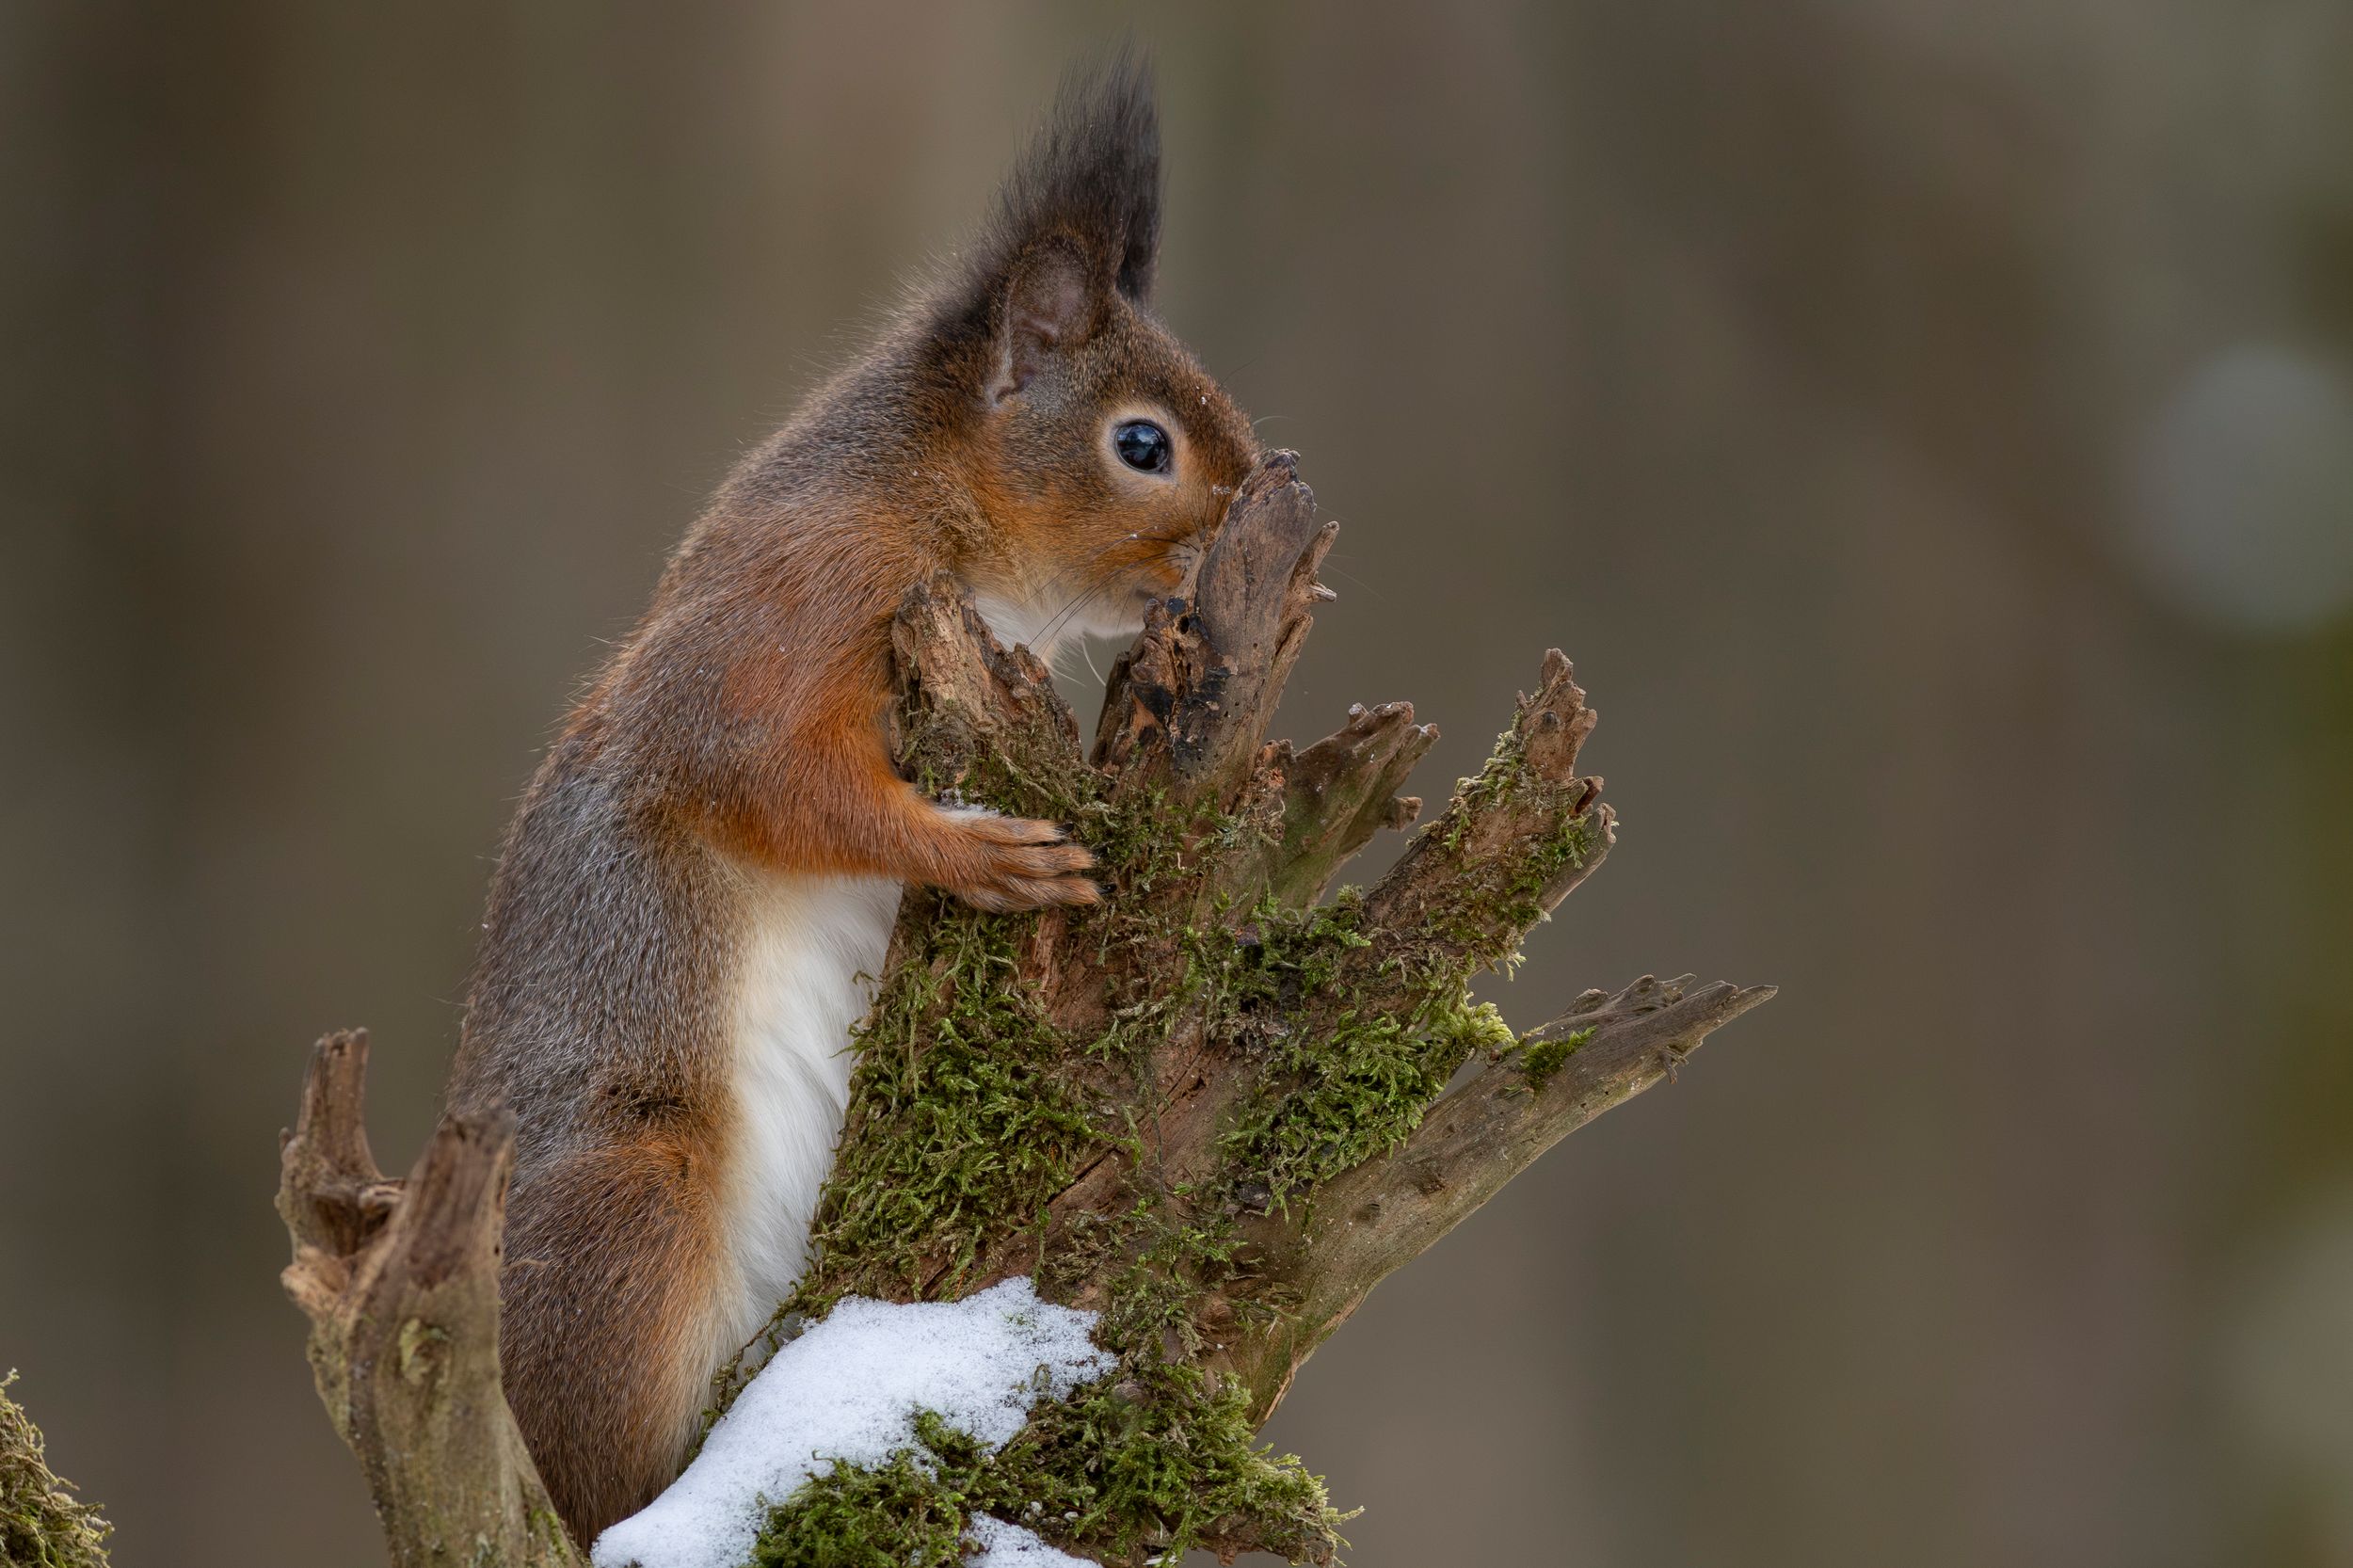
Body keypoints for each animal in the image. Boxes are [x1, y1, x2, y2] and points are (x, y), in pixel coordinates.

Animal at [445, 58, 1260, 1544]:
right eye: (1141, 444)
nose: (1263, 509)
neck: (937, 500)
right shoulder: (800, 601)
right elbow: (761, 775)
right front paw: (982, 855)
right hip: (632, 1203)